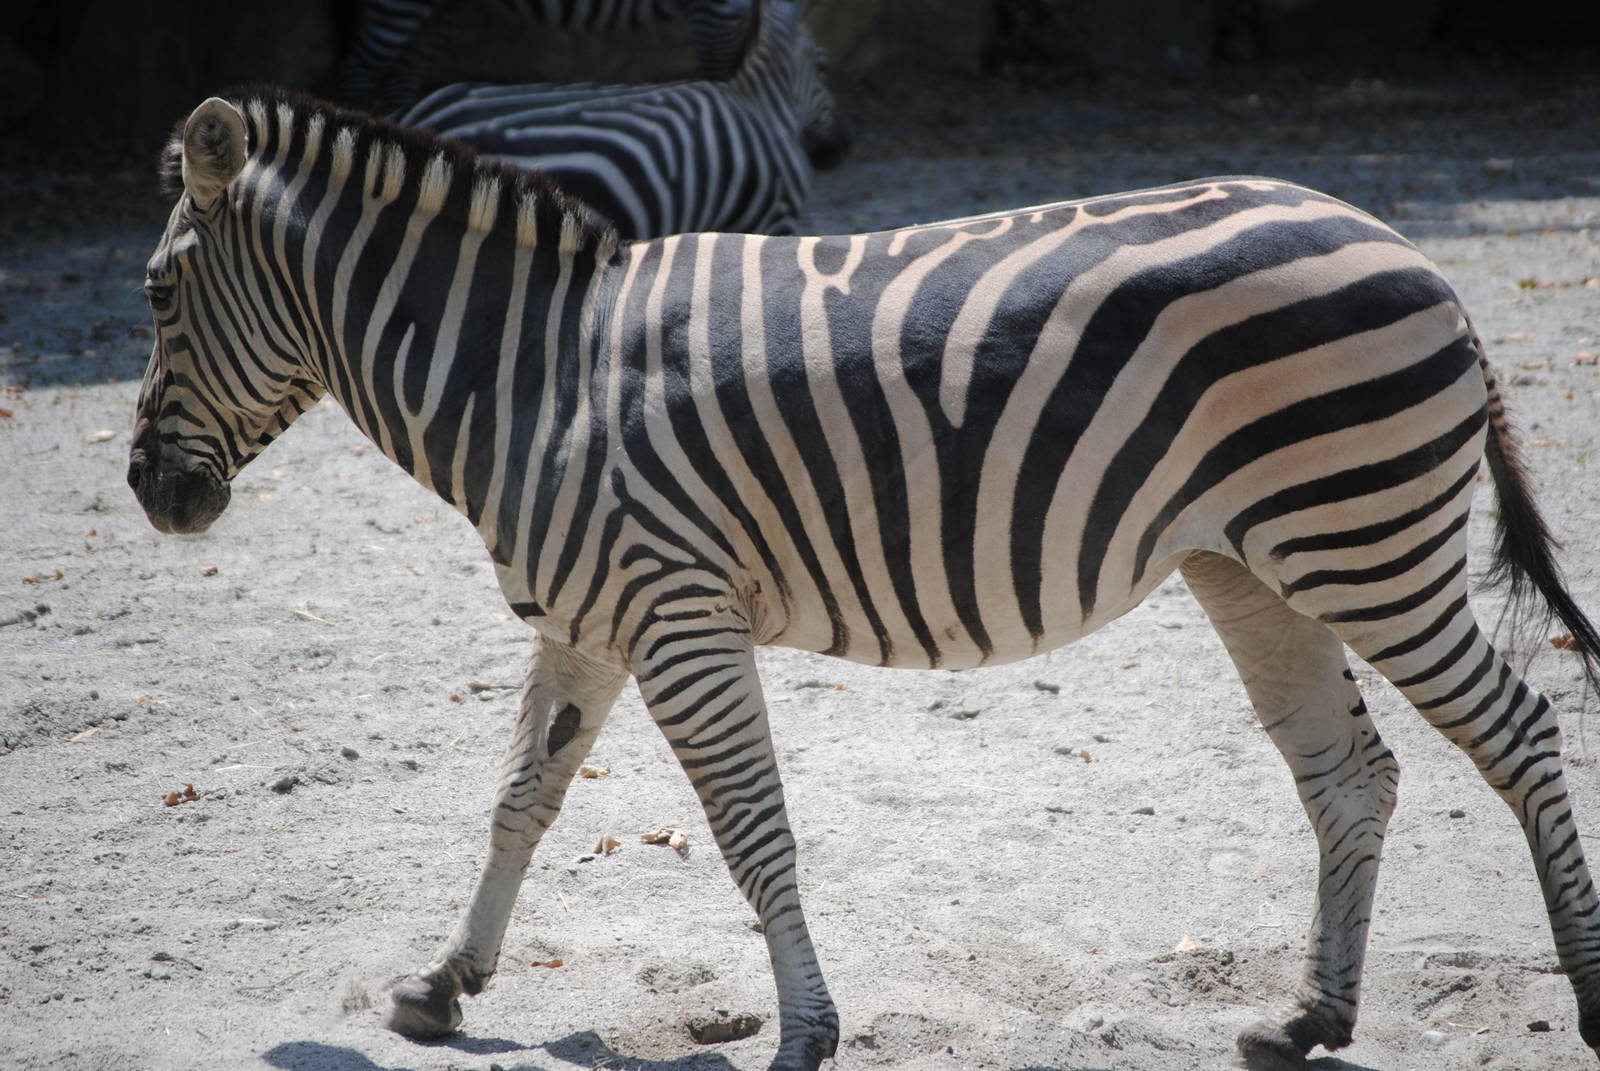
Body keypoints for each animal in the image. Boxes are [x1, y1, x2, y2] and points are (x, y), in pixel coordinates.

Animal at [130, 87, 1600, 1070]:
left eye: (151, 298)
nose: (151, 495)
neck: (535, 375)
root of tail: (1410, 250)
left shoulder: (676, 614)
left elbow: (747, 824)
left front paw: (805, 1031)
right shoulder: (590, 621)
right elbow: (520, 801)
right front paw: (444, 984)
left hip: (1370, 545)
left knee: (1522, 730)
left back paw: (1582, 995)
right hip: (1255, 563)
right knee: (1351, 771)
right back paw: (1307, 1017)